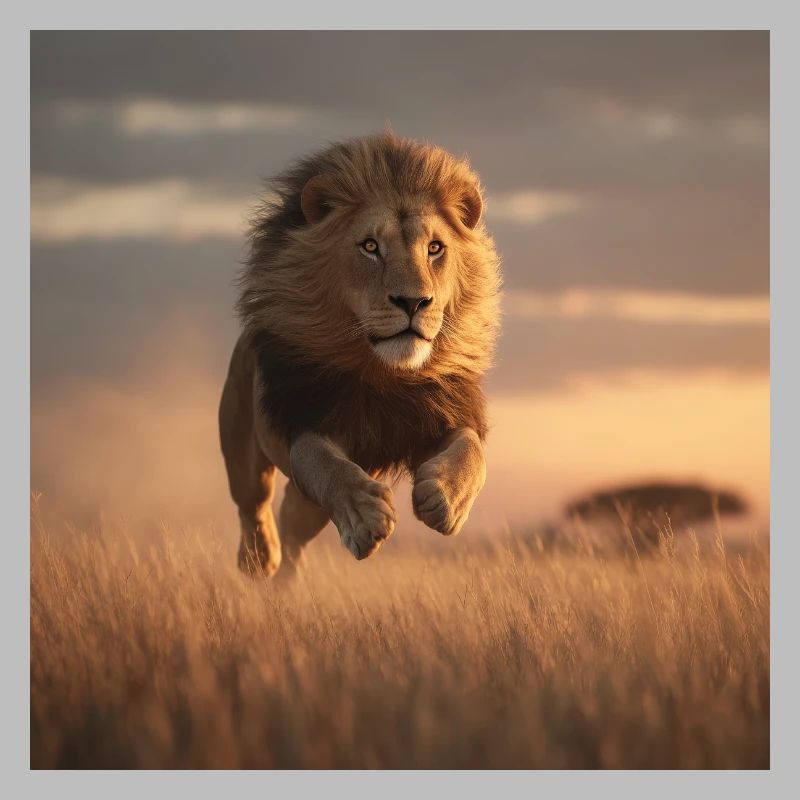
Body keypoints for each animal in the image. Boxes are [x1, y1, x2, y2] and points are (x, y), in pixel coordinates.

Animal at [218, 132, 501, 577]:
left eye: (435, 248)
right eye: (370, 247)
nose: (413, 302)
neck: (386, 372)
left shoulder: (439, 413)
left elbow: (471, 450)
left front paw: (445, 498)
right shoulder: (306, 420)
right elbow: (328, 466)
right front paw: (366, 517)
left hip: (308, 507)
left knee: (293, 526)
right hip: (242, 446)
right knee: (254, 503)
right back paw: (258, 558)